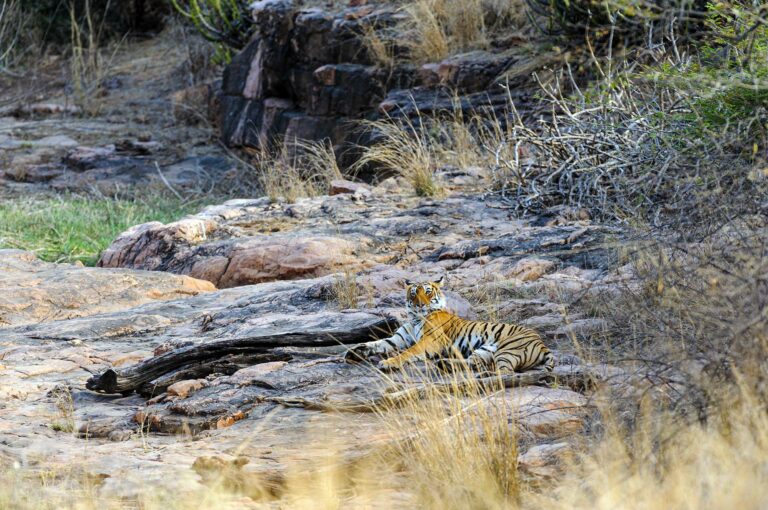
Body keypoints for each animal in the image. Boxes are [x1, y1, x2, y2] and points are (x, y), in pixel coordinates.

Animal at [344, 276, 556, 372]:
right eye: (413, 293)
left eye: (428, 292)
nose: (419, 304)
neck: (415, 318)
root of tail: (542, 344)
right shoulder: (398, 338)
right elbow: (377, 343)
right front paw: (355, 351)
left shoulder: (430, 340)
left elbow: (409, 352)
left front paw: (388, 363)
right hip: (485, 350)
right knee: (475, 363)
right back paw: (445, 363)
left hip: (508, 350)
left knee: (503, 372)